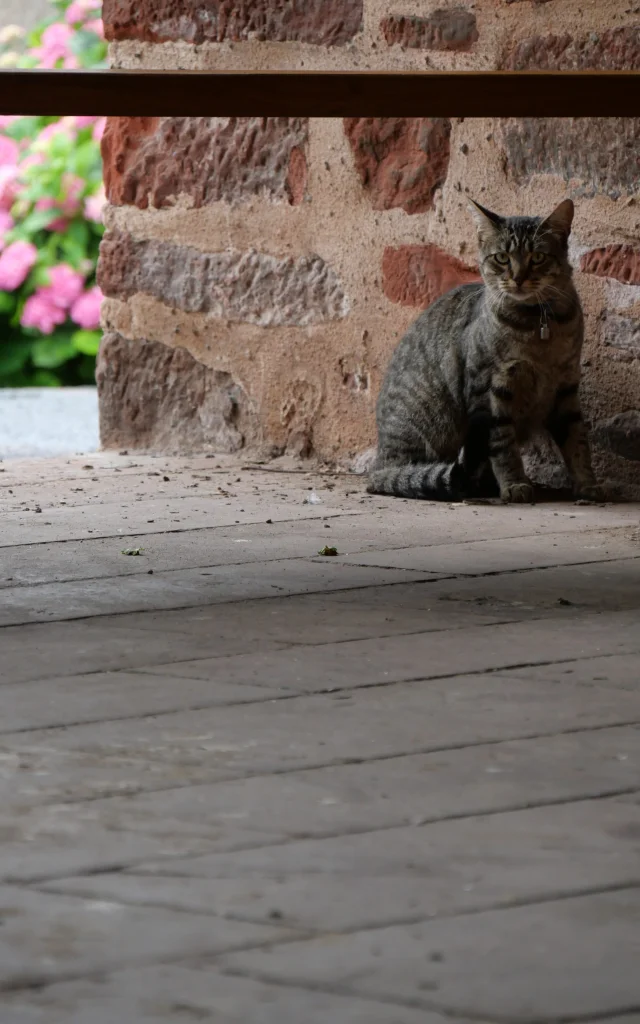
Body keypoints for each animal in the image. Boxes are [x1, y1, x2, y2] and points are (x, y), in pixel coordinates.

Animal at [366, 197, 602, 501]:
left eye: (537, 257)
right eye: (502, 258)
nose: (518, 278)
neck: (538, 326)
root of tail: (379, 461)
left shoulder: (566, 386)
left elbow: (577, 442)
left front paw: (588, 484)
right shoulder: (489, 386)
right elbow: (502, 444)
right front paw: (514, 484)